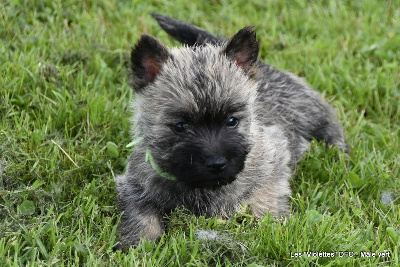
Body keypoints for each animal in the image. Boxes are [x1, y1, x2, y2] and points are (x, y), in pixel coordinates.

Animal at [114, 13, 348, 250]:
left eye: (231, 121)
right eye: (180, 126)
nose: (217, 164)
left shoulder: (275, 157)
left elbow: (265, 196)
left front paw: (269, 225)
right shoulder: (134, 184)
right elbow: (141, 214)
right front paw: (138, 244)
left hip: (310, 110)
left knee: (331, 127)